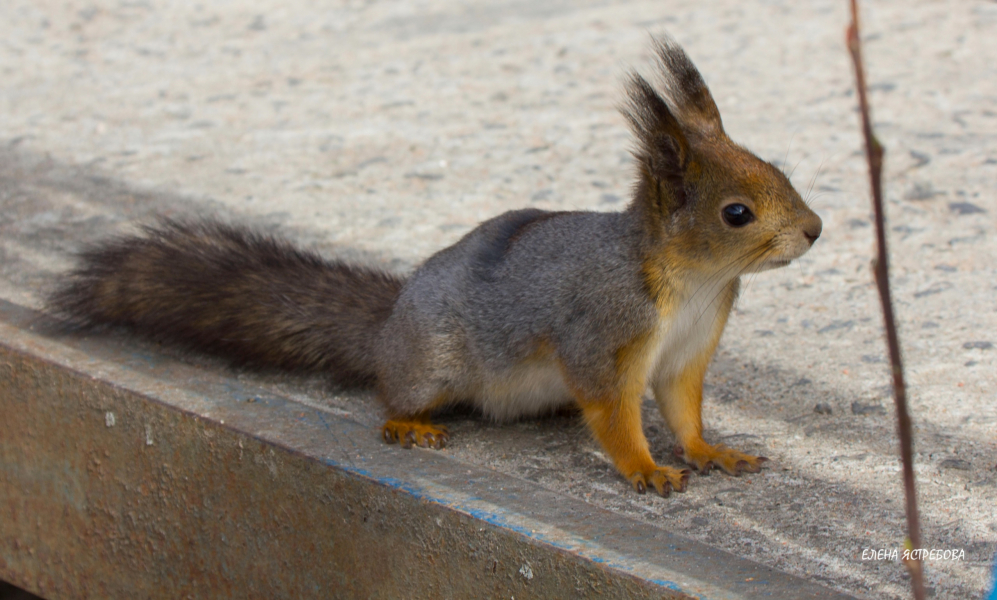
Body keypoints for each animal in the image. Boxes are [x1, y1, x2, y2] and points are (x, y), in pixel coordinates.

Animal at [50, 36, 821, 497]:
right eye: (736, 213)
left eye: (780, 170)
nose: (814, 232)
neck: (694, 283)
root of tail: (388, 329)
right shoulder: (602, 334)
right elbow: (614, 414)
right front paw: (645, 468)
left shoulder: (688, 350)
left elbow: (684, 409)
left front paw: (711, 451)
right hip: (431, 363)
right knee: (391, 396)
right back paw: (407, 426)